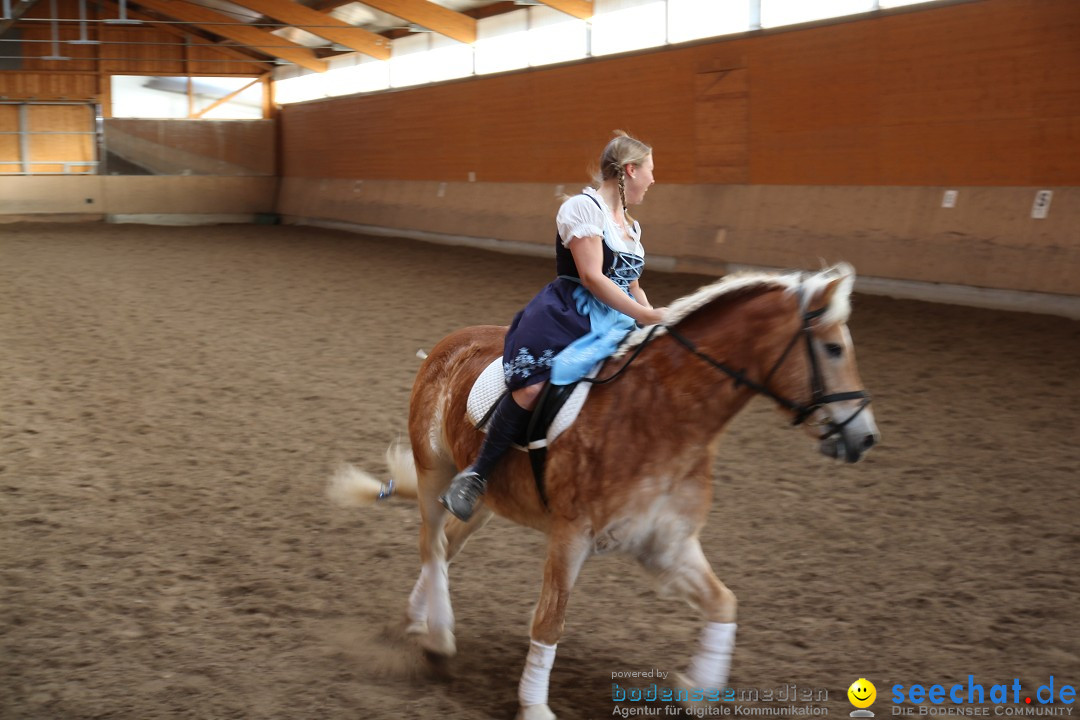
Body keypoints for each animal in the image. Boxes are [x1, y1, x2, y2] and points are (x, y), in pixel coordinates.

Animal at [332, 264, 881, 720]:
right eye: (834, 349)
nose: (865, 437)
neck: (666, 416)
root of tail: (452, 342)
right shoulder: (572, 535)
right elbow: (549, 622)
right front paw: (535, 708)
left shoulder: (666, 543)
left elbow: (723, 604)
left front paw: (699, 692)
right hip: (435, 471)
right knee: (430, 544)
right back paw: (440, 637)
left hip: (483, 500)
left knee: (445, 547)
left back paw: (421, 619)